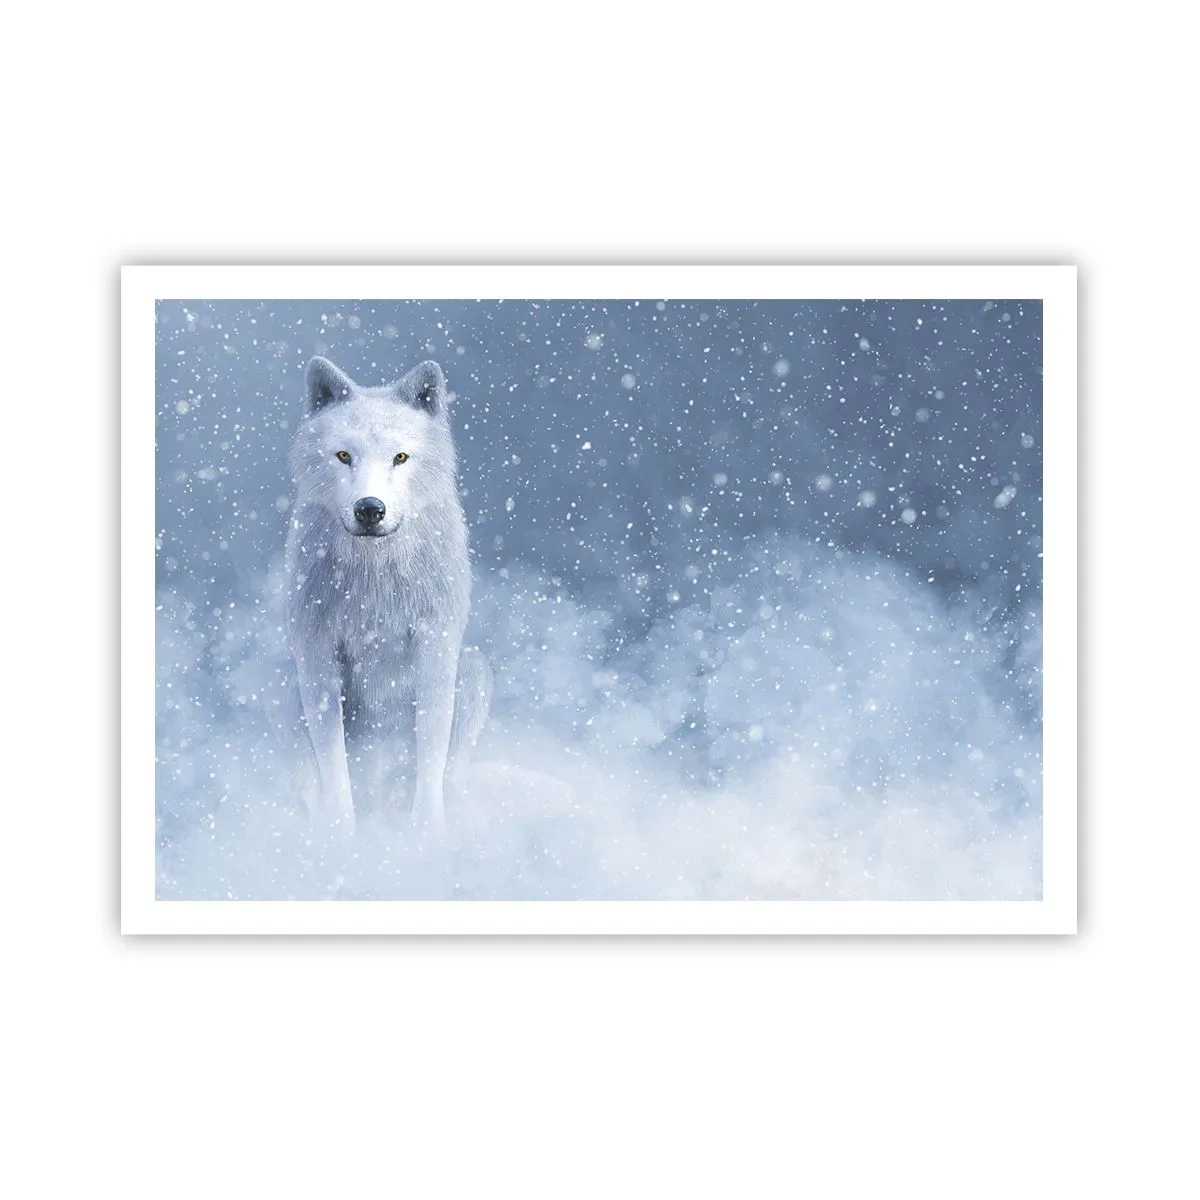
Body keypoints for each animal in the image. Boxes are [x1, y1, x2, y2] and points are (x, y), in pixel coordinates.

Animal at [279, 355, 491, 837]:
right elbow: (333, 759)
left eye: (400, 457)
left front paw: (426, 836)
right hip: (282, 685)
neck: (373, 578)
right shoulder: (317, 652)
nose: (369, 509)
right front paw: (341, 836)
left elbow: (431, 750)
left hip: (474, 671)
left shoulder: (436, 647)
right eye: (344, 455)